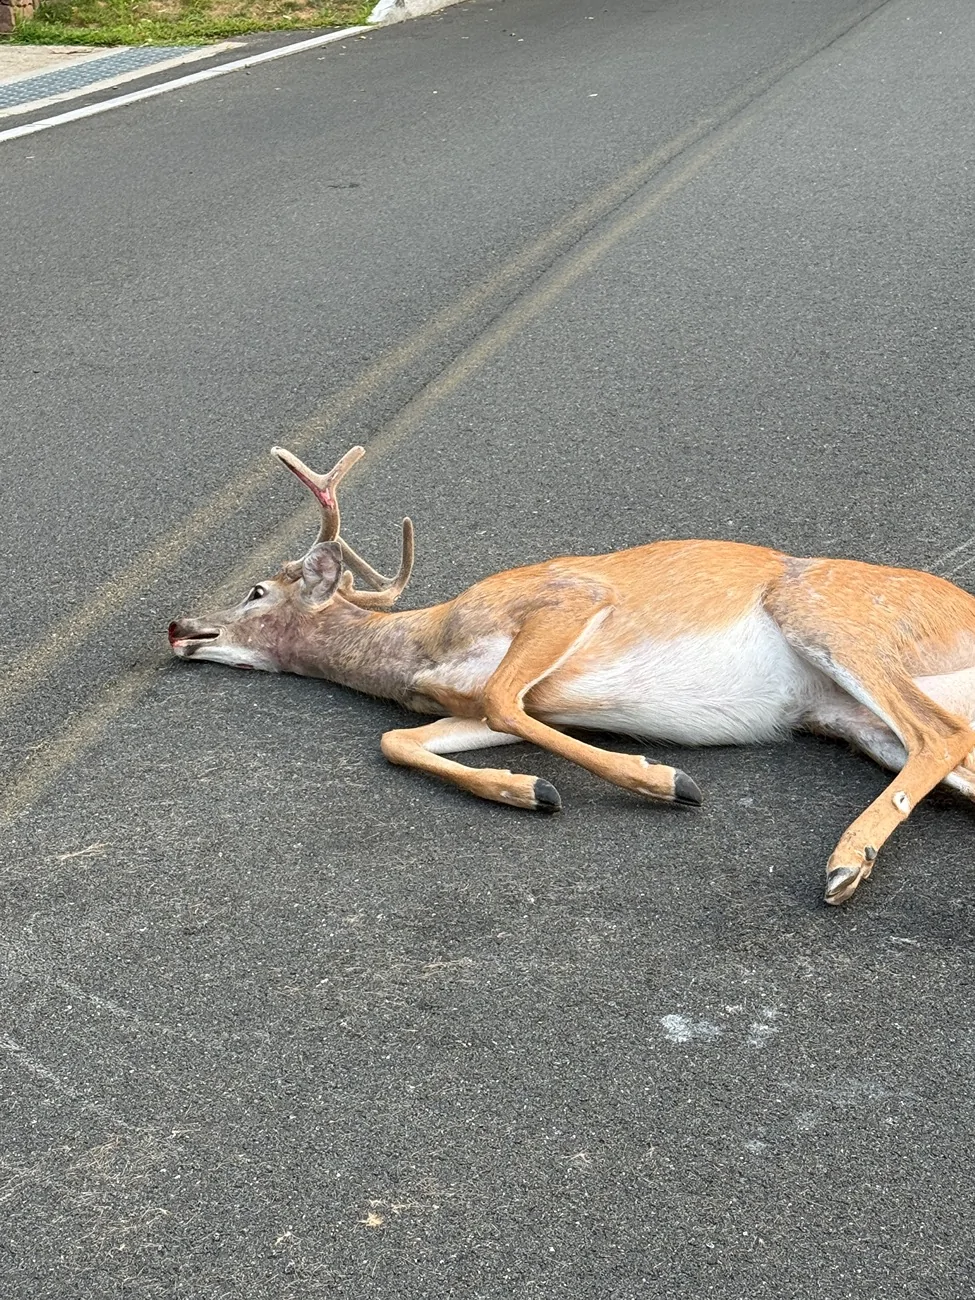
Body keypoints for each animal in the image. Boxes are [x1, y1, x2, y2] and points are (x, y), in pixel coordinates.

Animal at [169, 444, 975, 906]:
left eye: (255, 593)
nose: (178, 626)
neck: (420, 647)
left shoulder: (563, 600)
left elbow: (499, 700)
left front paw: (661, 779)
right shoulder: (513, 705)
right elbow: (401, 740)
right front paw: (527, 789)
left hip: (830, 617)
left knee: (938, 732)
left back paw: (845, 863)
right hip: (853, 719)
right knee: (948, 747)